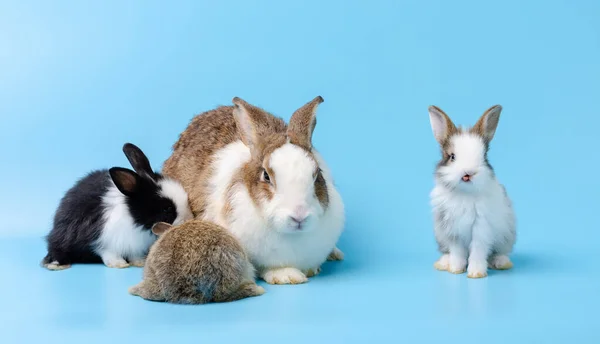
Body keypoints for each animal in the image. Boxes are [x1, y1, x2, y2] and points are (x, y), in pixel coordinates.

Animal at [41, 143, 192, 272]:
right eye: (167, 209)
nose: (189, 218)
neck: (133, 217)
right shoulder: (103, 239)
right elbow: (108, 253)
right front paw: (119, 264)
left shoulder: (134, 244)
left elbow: (134, 254)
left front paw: (139, 262)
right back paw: (57, 265)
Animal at [426, 105, 516, 280]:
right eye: (452, 156)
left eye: (484, 156)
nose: (468, 173)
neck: (464, 193)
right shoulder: (452, 229)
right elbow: (457, 252)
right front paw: (455, 269)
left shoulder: (481, 228)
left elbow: (478, 251)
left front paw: (476, 273)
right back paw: (443, 263)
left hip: (506, 236)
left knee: (498, 252)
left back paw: (501, 263)